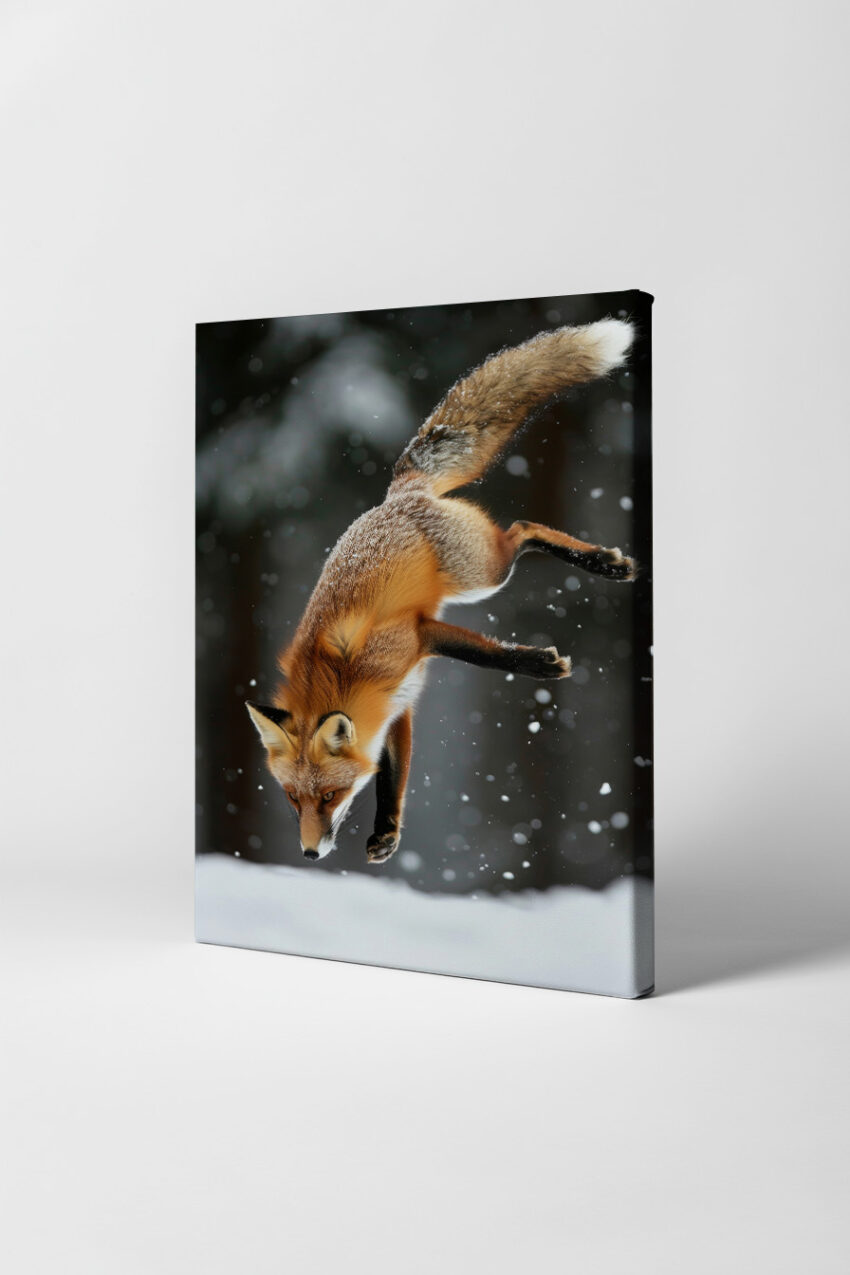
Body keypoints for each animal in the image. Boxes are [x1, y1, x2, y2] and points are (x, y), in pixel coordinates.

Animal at [246, 318, 638, 863]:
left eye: (329, 796)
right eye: (291, 799)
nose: (309, 854)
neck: (340, 678)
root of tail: (400, 491)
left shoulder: (417, 635)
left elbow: (486, 654)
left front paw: (539, 664)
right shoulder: (396, 704)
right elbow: (393, 775)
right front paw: (387, 834)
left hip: (484, 574)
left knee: (523, 528)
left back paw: (603, 563)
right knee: (522, 528)